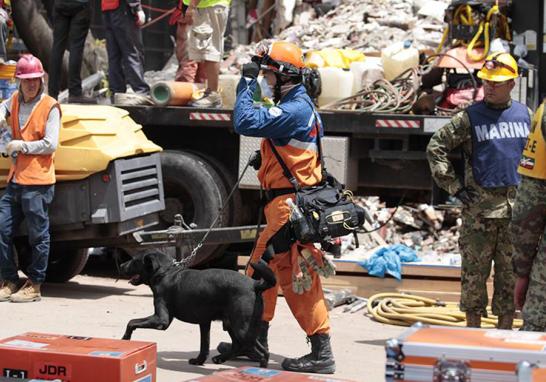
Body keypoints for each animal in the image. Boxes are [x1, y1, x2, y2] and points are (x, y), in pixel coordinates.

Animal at [117, 251, 274, 368]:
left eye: (134, 260)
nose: (121, 265)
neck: (165, 273)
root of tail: (255, 284)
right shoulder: (204, 322)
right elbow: (204, 345)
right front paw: (199, 361)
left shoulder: (161, 320)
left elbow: (131, 322)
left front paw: (125, 338)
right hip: (236, 325)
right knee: (251, 348)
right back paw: (222, 359)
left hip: (242, 327)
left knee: (257, 351)